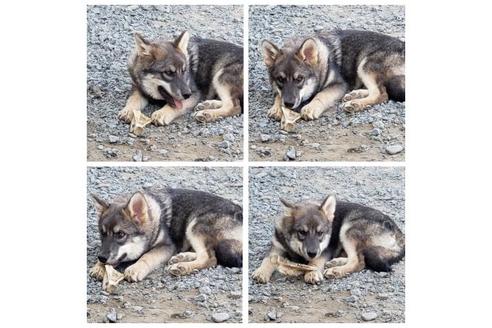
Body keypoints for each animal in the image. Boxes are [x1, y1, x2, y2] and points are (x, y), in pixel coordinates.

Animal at [89, 188, 243, 284]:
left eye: (121, 234)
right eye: (102, 233)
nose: (101, 258)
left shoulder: (167, 246)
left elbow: (148, 256)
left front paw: (136, 268)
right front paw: (99, 266)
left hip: (194, 225)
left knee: (210, 258)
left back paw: (182, 267)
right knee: (208, 253)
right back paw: (182, 257)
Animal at [252, 195, 406, 284]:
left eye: (320, 233)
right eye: (302, 232)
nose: (312, 253)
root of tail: (399, 232)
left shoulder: (324, 250)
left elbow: (315, 262)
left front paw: (312, 272)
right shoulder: (276, 247)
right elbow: (267, 259)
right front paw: (261, 272)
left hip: (348, 229)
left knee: (358, 261)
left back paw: (336, 270)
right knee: (359, 258)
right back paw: (337, 262)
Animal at [262, 29, 404, 121]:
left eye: (299, 79)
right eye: (280, 79)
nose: (288, 104)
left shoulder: (339, 84)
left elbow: (321, 95)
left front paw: (311, 107)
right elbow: (278, 94)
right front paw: (276, 107)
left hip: (365, 65)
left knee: (381, 94)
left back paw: (355, 104)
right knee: (381, 89)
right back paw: (355, 95)